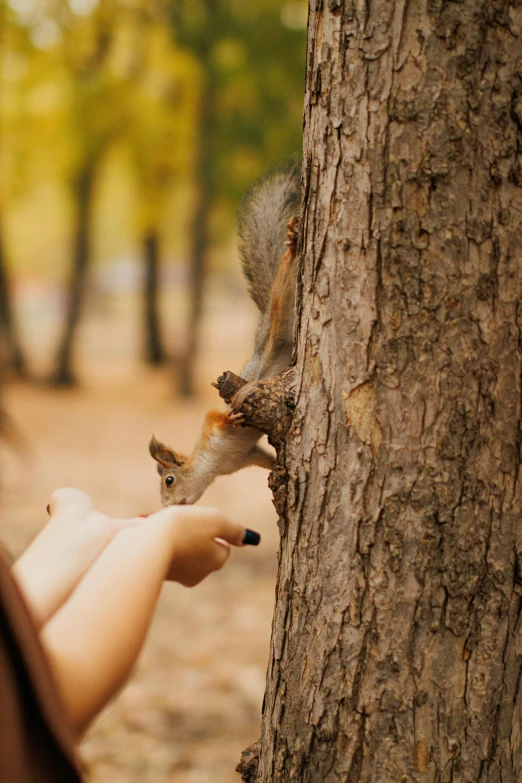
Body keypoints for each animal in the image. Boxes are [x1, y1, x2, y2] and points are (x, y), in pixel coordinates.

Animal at [148, 166, 298, 508]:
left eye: (169, 480)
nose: (165, 508)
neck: (213, 465)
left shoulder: (212, 426)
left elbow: (218, 415)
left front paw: (234, 415)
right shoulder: (247, 456)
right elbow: (266, 459)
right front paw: (280, 471)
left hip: (276, 322)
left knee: (281, 289)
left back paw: (292, 246)